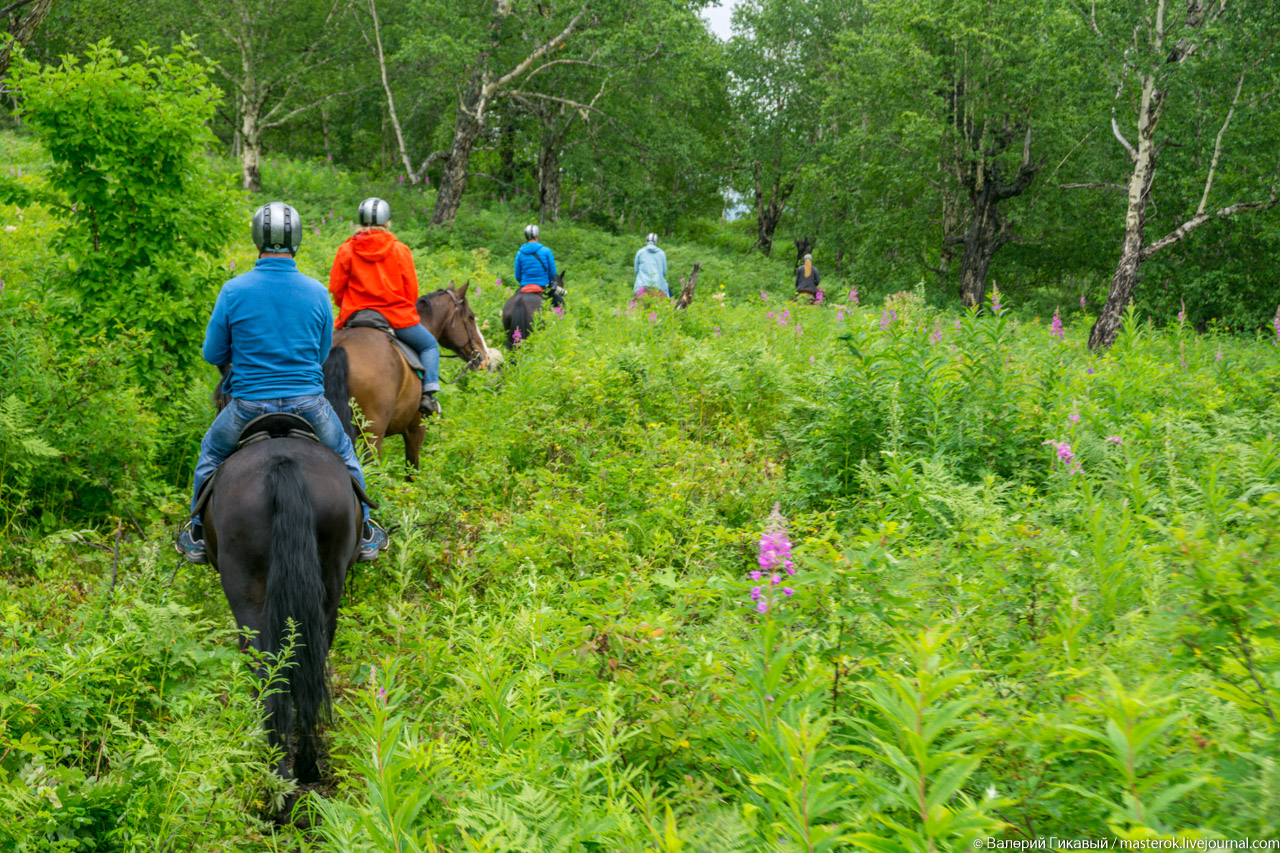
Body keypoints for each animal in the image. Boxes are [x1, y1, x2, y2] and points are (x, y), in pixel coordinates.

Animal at [203, 414, 366, 819]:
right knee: (307, 662)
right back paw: (304, 767)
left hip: (246, 593)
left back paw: (276, 777)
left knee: (267, 671)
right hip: (327, 586)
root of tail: (282, 463)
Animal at [325, 280, 488, 468]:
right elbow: (412, 468)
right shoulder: (416, 428)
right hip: (371, 435)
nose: (484, 356)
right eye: (471, 317)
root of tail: (341, 347)